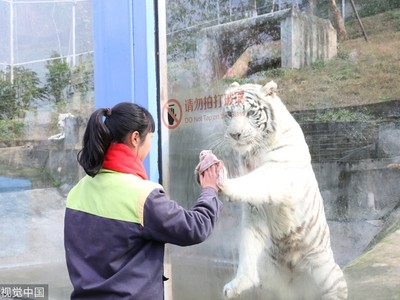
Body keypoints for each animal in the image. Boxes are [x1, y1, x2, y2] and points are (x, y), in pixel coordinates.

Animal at [216, 81, 346, 298]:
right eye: (229, 114)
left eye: (250, 112)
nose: (235, 135)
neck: (253, 152)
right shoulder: (255, 210)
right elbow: (248, 243)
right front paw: (237, 284)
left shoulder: (282, 170)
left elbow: (256, 181)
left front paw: (223, 181)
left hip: (326, 272)